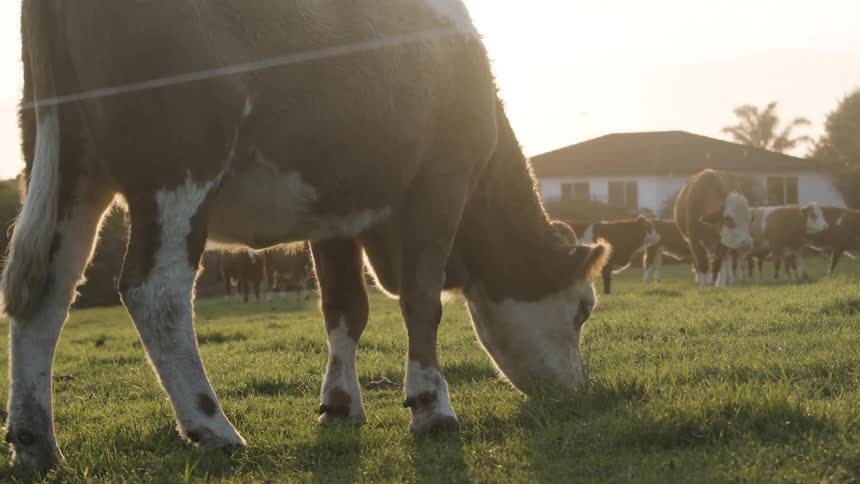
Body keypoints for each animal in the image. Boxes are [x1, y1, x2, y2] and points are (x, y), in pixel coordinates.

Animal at [2, 1, 610, 470]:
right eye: (583, 310)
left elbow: (345, 307)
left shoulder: (336, 211)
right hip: (177, 160)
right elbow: (421, 301)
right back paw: (213, 427)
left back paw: (37, 445)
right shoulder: (440, 183)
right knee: (156, 291)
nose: (574, 392)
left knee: (46, 294)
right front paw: (431, 406)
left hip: (69, 168)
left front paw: (340, 404)